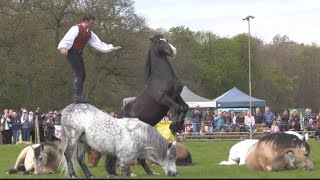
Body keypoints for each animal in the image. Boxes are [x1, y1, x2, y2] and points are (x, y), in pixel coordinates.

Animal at [106, 34, 189, 176]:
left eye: (167, 40)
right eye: (160, 42)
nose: (173, 50)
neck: (161, 78)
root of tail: (120, 115)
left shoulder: (176, 96)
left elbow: (185, 108)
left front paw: (177, 126)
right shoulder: (164, 99)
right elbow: (178, 109)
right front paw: (173, 127)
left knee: (139, 157)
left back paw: (149, 172)